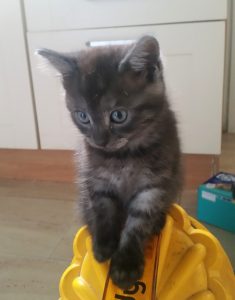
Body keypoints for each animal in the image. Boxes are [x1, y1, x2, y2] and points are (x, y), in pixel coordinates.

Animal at [38, 35, 182, 290]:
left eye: (118, 115)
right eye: (82, 116)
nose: (99, 141)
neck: (124, 156)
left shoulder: (153, 187)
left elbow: (138, 223)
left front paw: (126, 265)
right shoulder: (97, 181)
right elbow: (104, 211)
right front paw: (104, 246)